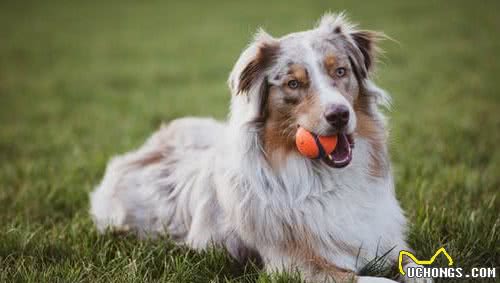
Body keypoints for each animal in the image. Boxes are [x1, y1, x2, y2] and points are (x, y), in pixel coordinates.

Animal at [90, 12, 430, 282]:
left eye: (340, 71)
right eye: (293, 84)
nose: (339, 115)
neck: (324, 178)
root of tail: (142, 150)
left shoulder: (387, 241)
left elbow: (418, 269)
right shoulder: (298, 266)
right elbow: (374, 280)